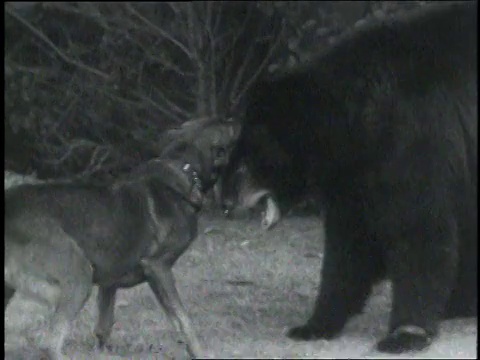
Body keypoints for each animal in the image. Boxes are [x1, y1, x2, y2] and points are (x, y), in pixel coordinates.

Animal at [4, 119, 240, 360]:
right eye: (225, 126)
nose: (237, 121)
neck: (185, 170)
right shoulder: (158, 268)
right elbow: (184, 321)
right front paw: (199, 352)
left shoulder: (109, 283)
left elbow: (104, 325)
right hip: (77, 277)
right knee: (48, 343)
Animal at [232, 0, 476, 354]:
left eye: (252, 148)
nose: (229, 191)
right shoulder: (353, 177)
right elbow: (349, 243)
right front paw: (313, 324)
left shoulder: (415, 137)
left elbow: (419, 228)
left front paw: (405, 333)